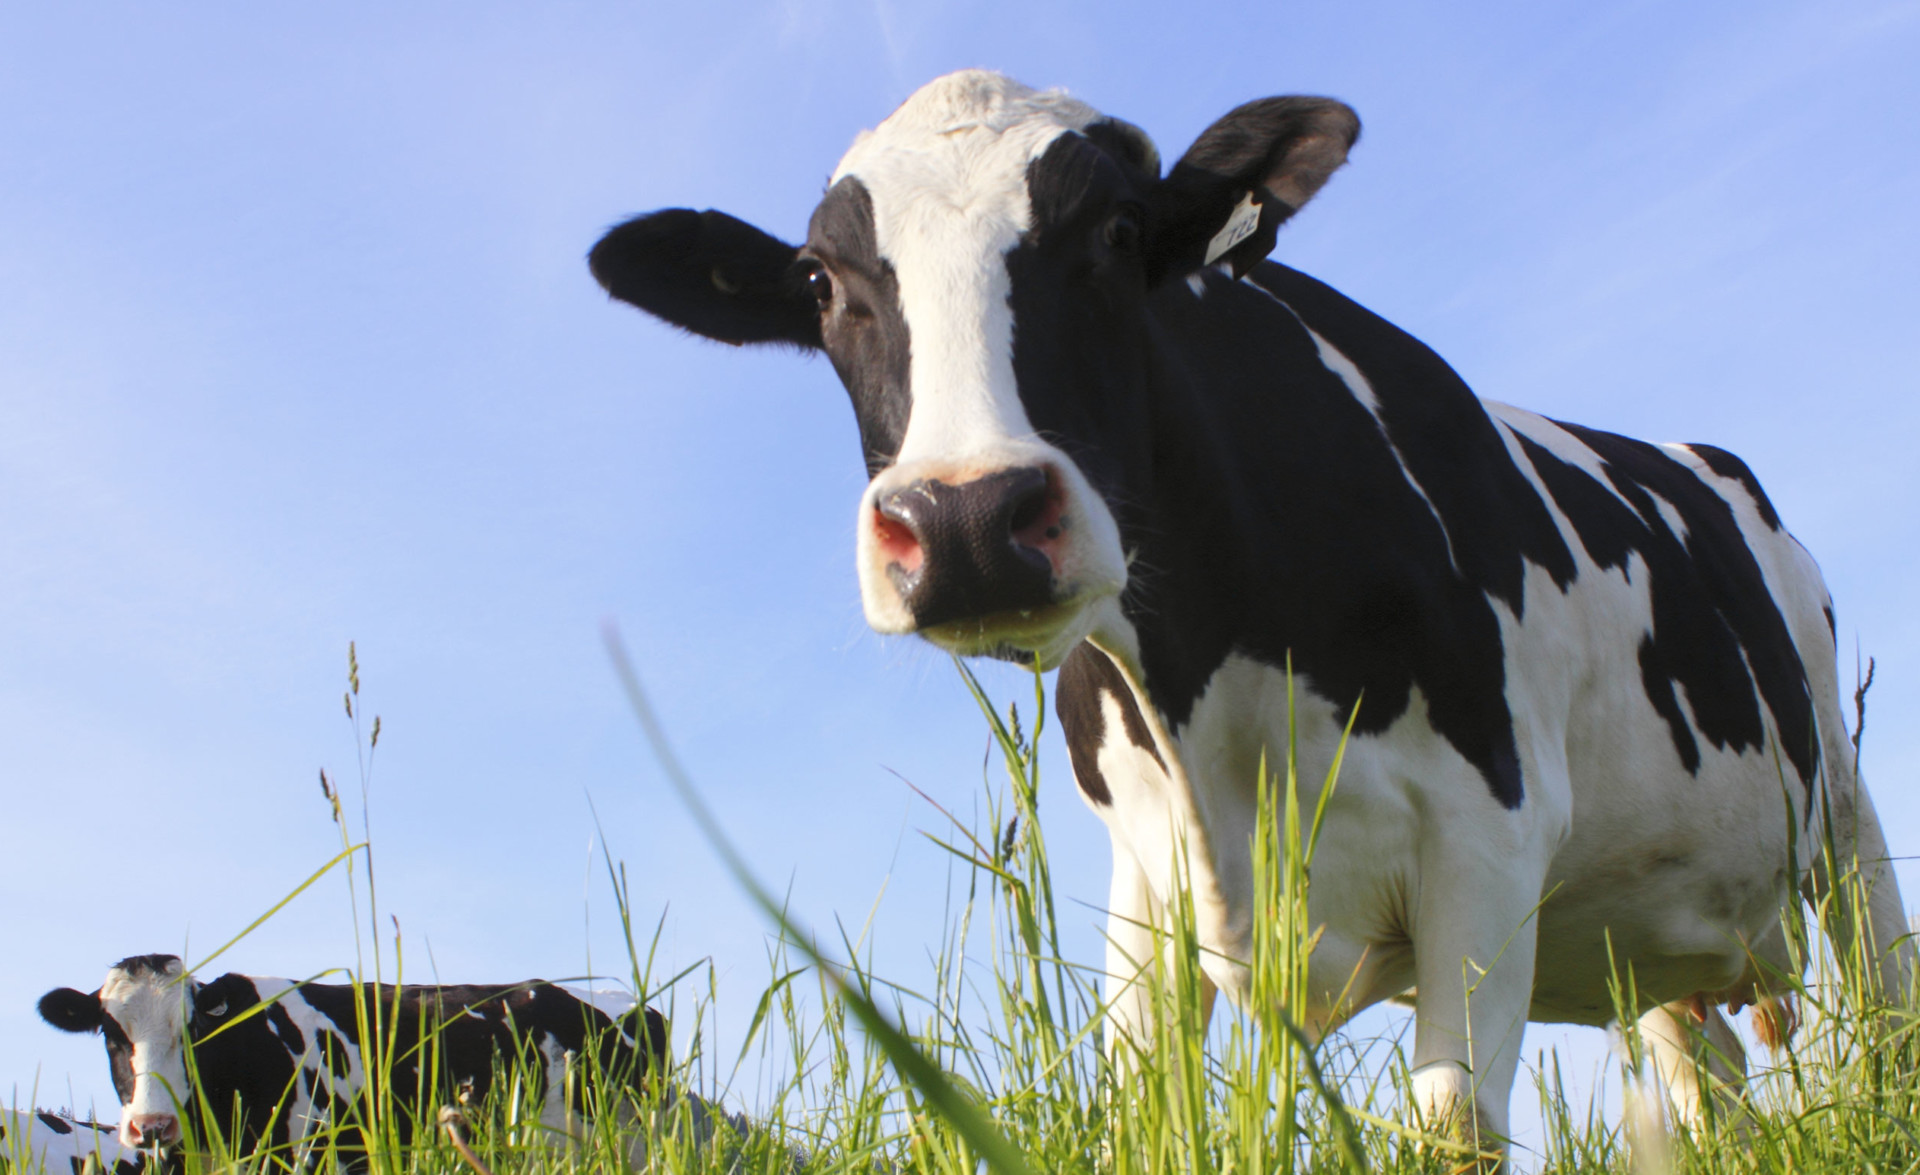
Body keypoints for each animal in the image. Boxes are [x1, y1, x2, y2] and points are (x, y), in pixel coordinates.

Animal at [585, 70, 1912, 1154]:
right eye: (821, 281)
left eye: (1119, 233)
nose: (967, 519)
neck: (1214, 704)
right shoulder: (1145, 881)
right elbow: (1139, 1107)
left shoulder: (1487, 834)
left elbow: (1453, 1123)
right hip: (1663, 940)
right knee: (1709, 1081)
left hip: (1846, 822)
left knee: (1885, 1006)